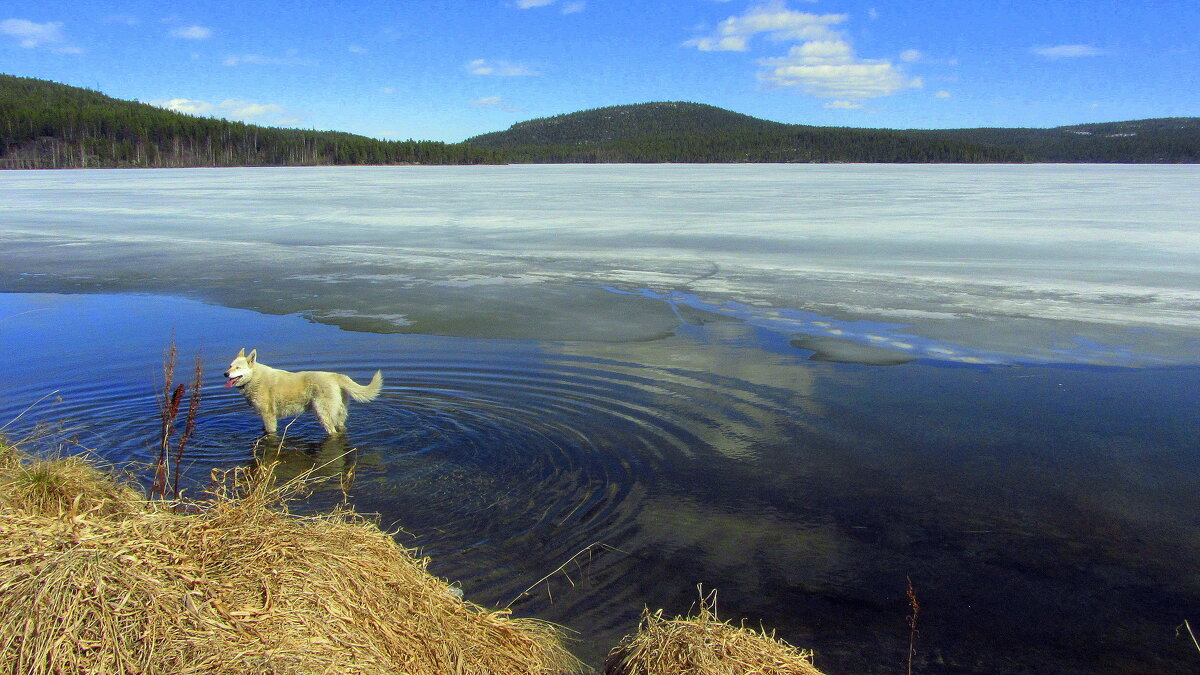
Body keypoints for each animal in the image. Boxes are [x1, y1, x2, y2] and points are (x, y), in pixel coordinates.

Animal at [220, 345, 379, 437]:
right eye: (230, 366)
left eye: (238, 368)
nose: (225, 374)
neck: (254, 377)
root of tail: (335, 376)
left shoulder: (269, 416)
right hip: (338, 415)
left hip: (323, 414)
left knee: (332, 432)